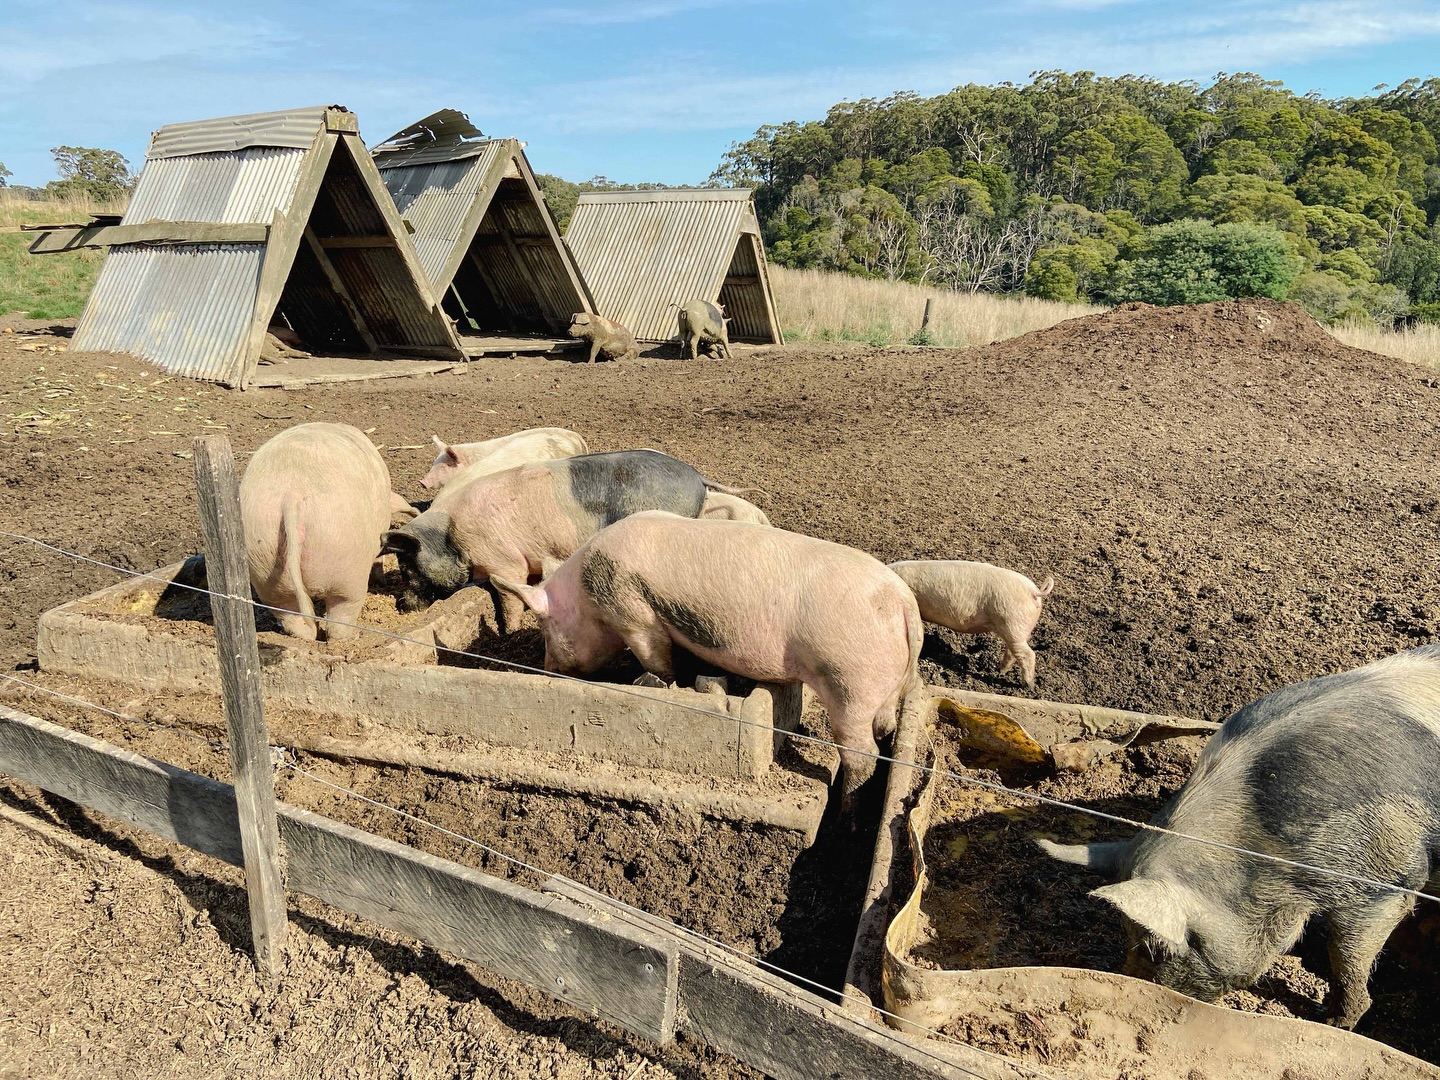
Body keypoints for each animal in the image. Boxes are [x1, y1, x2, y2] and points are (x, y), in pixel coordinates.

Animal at [239, 422, 394, 641]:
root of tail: (292, 494)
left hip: (262, 560)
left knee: (290, 614)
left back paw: (307, 634)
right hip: (346, 566)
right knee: (340, 618)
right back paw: (352, 636)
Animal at [383, 450, 715, 631]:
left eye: (407, 569)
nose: (401, 605)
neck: (452, 537)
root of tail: (696, 477)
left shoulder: (504, 561)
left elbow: (509, 596)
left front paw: (509, 630)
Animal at [491, 511, 924, 799]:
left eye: (546, 628)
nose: (547, 671)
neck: (586, 592)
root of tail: (904, 602)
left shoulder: (634, 615)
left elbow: (656, 659)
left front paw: (656, 682)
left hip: (849, 680)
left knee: (861, 754)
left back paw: (848, 808)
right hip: (882, 688)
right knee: (884, 730)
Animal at [888, 560, 1054, 686]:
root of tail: (1035, 592)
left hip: (1012, 622)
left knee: (1028, 654)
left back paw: (1027, 685)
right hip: (1016, 629)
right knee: (1014, 652)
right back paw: (1000, 671)